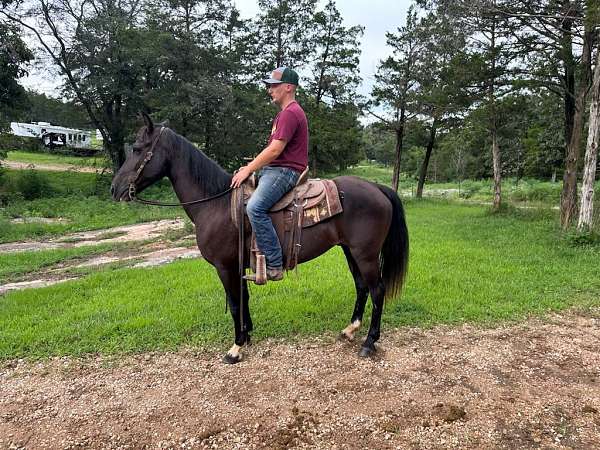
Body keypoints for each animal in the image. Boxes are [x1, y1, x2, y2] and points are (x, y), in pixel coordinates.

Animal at [110, 114, 410, 364]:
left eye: (137, 149)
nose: (115, 189)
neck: (215, 204)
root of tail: (378, 188)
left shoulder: (225, 267)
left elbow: (234, 303)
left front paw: (236, 347)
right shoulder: (237, 266)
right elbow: (243, 300)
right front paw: (247, 335)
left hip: (365, 253)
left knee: (377, 290)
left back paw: (369, 342)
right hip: (350, 250)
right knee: (361, 286)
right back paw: (350, 330)